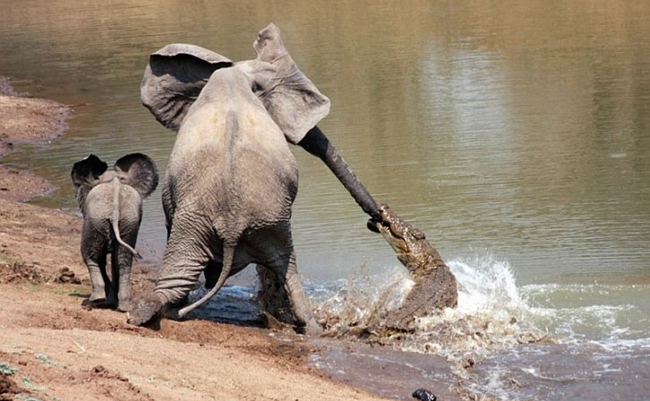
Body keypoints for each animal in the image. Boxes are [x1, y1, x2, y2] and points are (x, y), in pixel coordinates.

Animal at [70, 152, 157, 310]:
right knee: (124, 259)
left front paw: (108, 300)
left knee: (90, 255)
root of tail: (115, 209)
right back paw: (124, 305)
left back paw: (96, 299)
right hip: (128, 221)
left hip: (96, 219)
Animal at [127, 23, 378, 332]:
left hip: (227, 221)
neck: (237, 74)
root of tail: (231, 225)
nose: (375, 221)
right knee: (284, 267)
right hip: (249, 221)